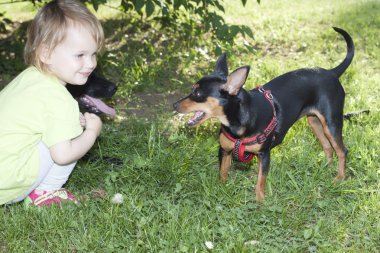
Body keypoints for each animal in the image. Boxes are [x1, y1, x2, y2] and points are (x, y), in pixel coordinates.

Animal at [174, 27, 354, 202]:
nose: (174, 105)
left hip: (331, 123)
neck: (238, 121)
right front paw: (220, 192)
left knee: (342, 151)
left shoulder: (264, 155)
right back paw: (326, 169)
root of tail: (331, 73)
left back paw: (339, 178)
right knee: (328, 147)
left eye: (197, 94)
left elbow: (260, 181)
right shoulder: (224, 151)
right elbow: (223, 174)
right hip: (315, 122)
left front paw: (260, 203)